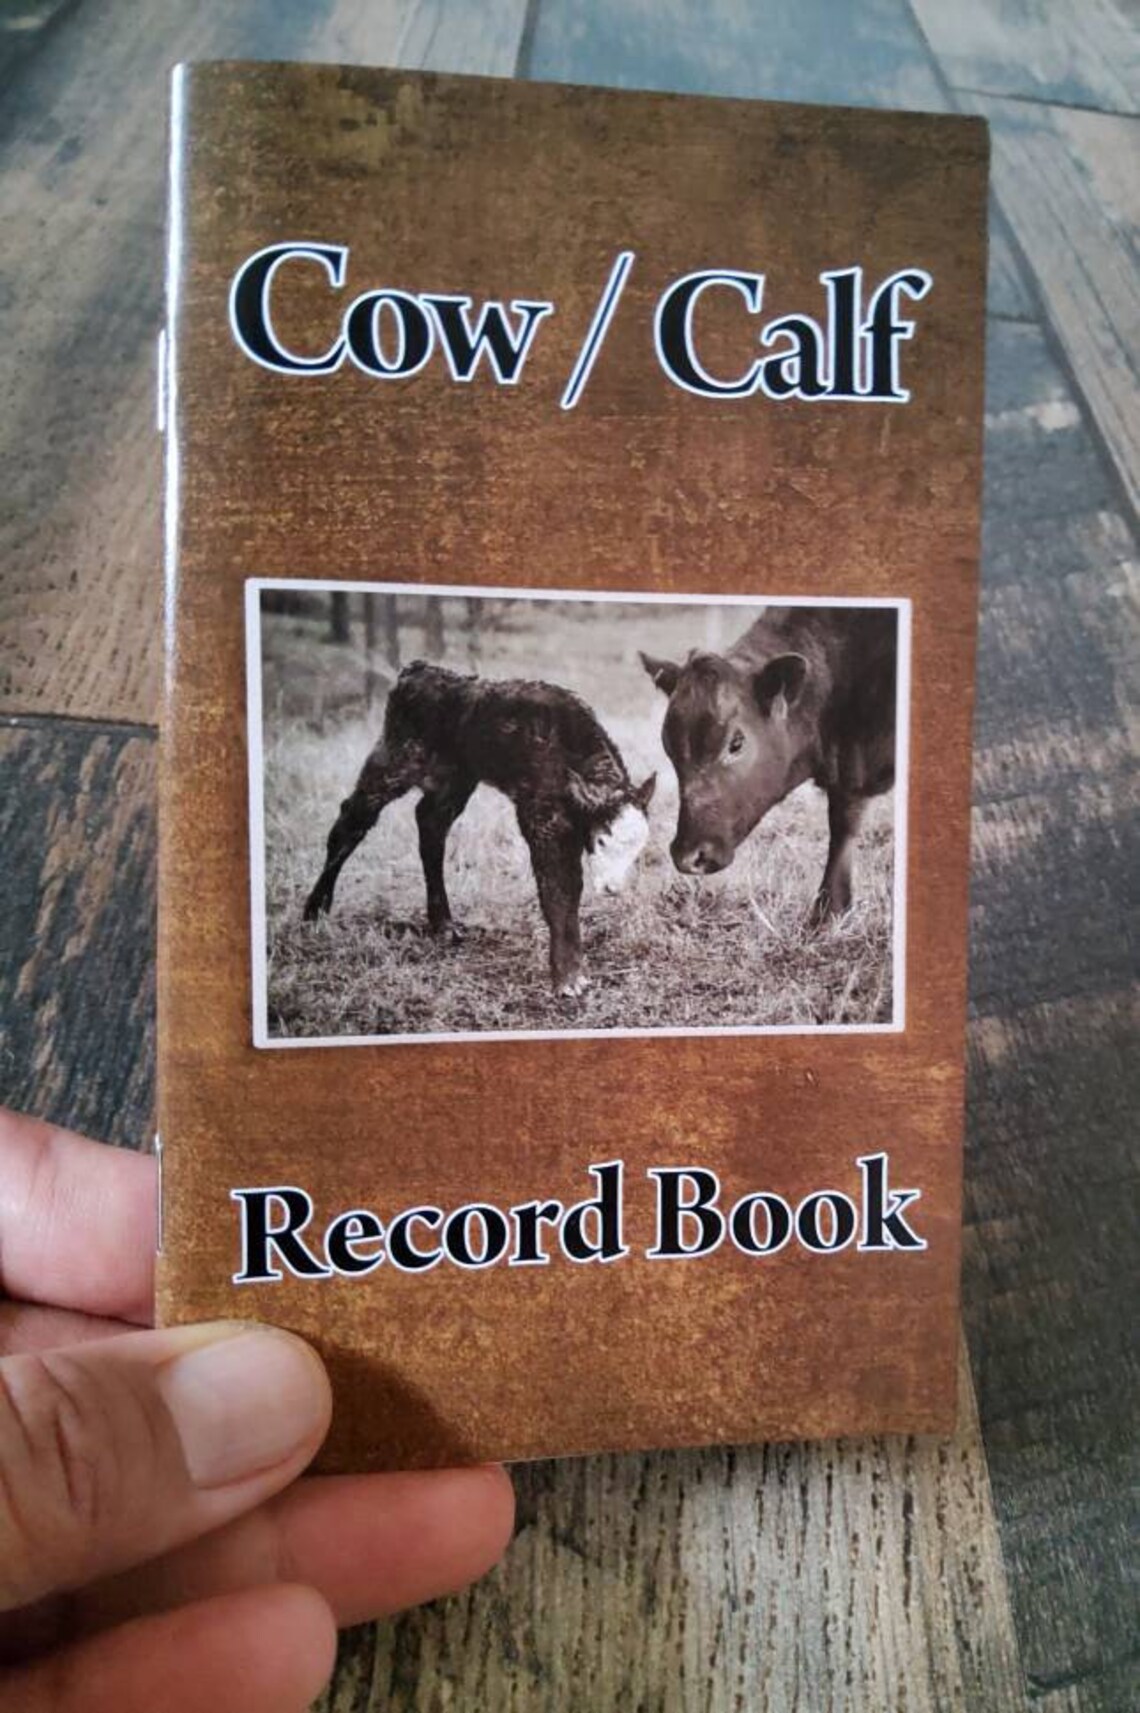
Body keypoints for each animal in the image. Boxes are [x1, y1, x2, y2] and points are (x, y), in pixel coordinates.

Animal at [303, 661, 656, 996]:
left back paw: (444, 924)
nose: (613, 888)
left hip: (455, 780)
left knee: (430, 826)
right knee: (352, 821)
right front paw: (568, 979)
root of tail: (416, 671)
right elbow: (559, 889)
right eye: (603, 840)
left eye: (637, 850)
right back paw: (314, 911)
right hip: (395, 758)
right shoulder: (541, 820)